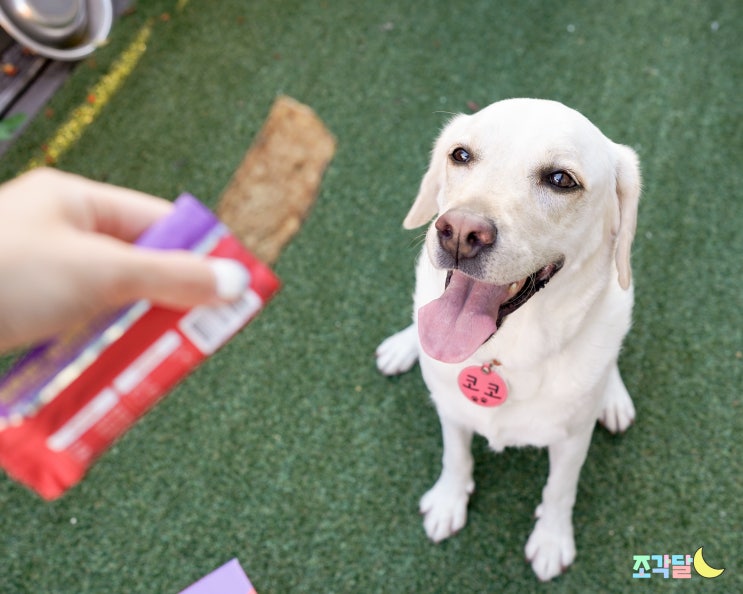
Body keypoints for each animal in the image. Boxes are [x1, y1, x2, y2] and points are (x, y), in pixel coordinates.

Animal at [378, 98, 640, 580]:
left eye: (561, 180)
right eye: (460, 155)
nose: (460, 232)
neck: (499, 355)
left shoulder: (572, 441)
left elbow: (559, 490)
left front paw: (552, 540)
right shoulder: (451, 411)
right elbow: (456, 456)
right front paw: (449, 501)